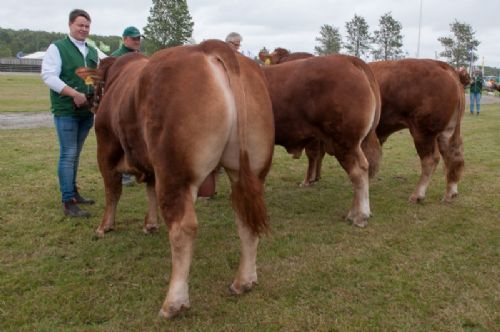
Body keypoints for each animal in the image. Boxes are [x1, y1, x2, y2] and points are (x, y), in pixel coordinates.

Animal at [76, 40, 276, 318]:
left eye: (97, 85)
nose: (89, 101)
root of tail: (209, 48)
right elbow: (149, 188)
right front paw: (150, 224)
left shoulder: (106, 147)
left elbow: (112, 190)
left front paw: (105, 226)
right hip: (250, 171)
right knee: (245, 218)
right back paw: (243, 281)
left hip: (175, 172)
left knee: (183, 228)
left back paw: (174, 302)